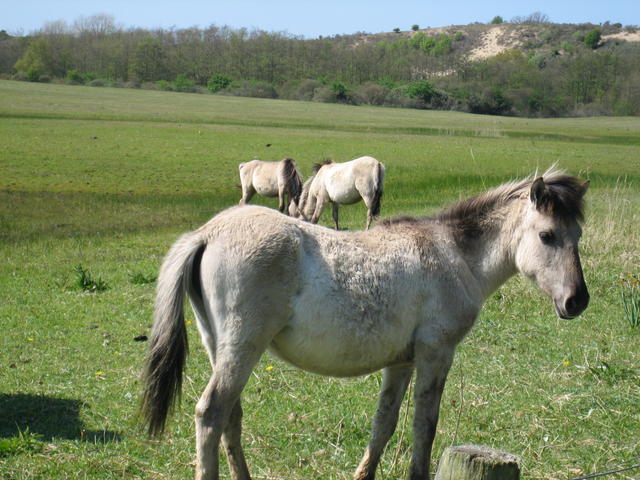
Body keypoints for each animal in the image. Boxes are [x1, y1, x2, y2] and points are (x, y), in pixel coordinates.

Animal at [141, 169, 592, 480]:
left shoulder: (402, 361)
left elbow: (384, 424)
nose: (577, 300)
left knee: (230, 417)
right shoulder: (436, 354)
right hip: (242, 347)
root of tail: (206, 232)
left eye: (578, 235)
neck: (455, 255)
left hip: (220, 347)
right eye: (547, 235)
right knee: (211, 413)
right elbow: (424, 425)